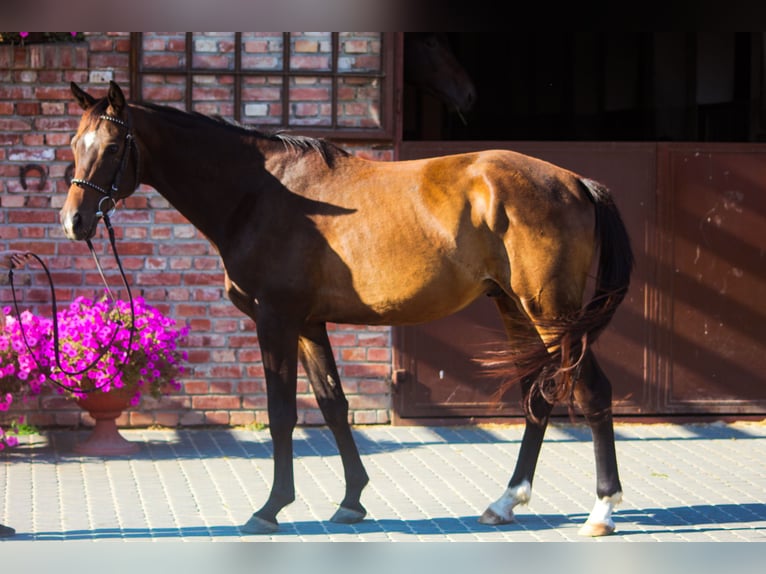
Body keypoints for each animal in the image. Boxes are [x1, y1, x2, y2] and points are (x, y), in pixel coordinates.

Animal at [61, 82, 636, 540]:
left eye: (110, 147)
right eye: (73, 145)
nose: (74, 222)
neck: (259, 193)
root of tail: (576, 182)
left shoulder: (276, 319)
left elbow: (282, 413)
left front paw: (271, 508)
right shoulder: (309, 324)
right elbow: (333, 405)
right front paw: (352, 500)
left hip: (552, 312)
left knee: (592, 391)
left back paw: (602, 510)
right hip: (515, 307)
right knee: (537, 396)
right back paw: (505, 501)